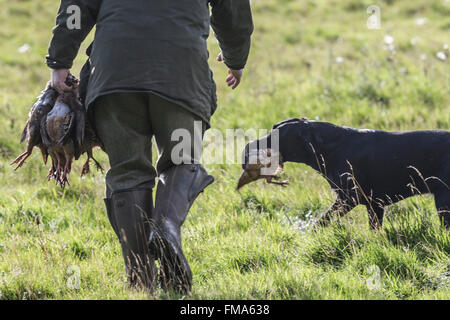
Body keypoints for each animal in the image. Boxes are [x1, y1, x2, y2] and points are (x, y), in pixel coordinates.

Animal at [239, 119, 450, 229]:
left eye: (277, 136)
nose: (248, 146)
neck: (332, 148)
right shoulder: (375, 205)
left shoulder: (349, 198)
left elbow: (321, 221)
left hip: (443, 202)